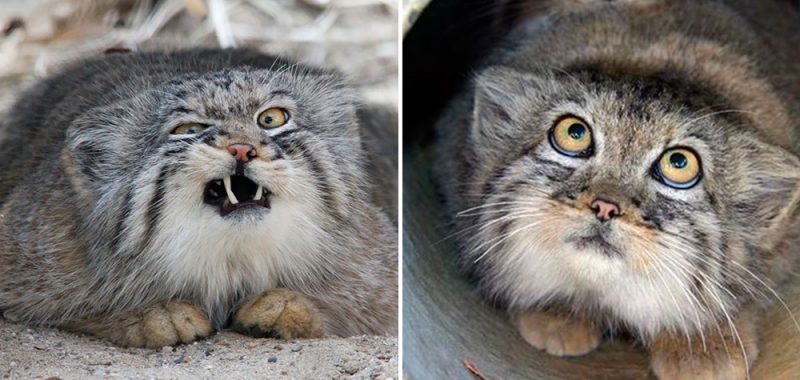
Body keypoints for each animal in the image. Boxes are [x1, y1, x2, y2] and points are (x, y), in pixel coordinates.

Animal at [0, 47, 398, 348]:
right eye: (188, 129)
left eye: (271, 119)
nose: (242, 149)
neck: (232, 260)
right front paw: (154, 314)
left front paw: (289, 305)